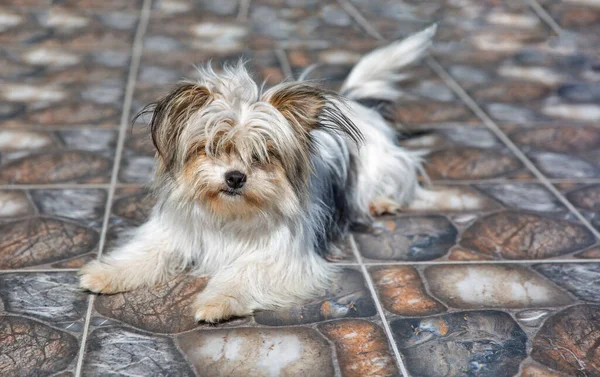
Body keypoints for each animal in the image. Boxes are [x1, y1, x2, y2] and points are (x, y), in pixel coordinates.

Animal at [78, 25, 436, 320]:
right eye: (211, 147)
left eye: (263, 154)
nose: (235, 177)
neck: (231, 213)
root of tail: (358, 104)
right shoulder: (175, 231)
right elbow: (146, 251)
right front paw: (105, 274)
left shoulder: (281, 257)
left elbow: (242, 273)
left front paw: (217, 301)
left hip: (383, 166)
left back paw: (382, 202)